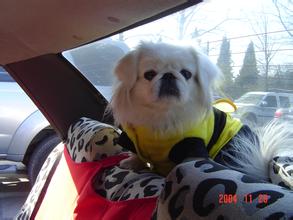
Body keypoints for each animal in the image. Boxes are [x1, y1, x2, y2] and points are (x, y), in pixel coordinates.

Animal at [108, 41, 292, 182]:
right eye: (149, 74)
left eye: (186, 73)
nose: (169, 75)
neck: (164, 114)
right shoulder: (131, 138)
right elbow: (136, 152)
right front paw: (132, 163)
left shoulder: (191, 144)